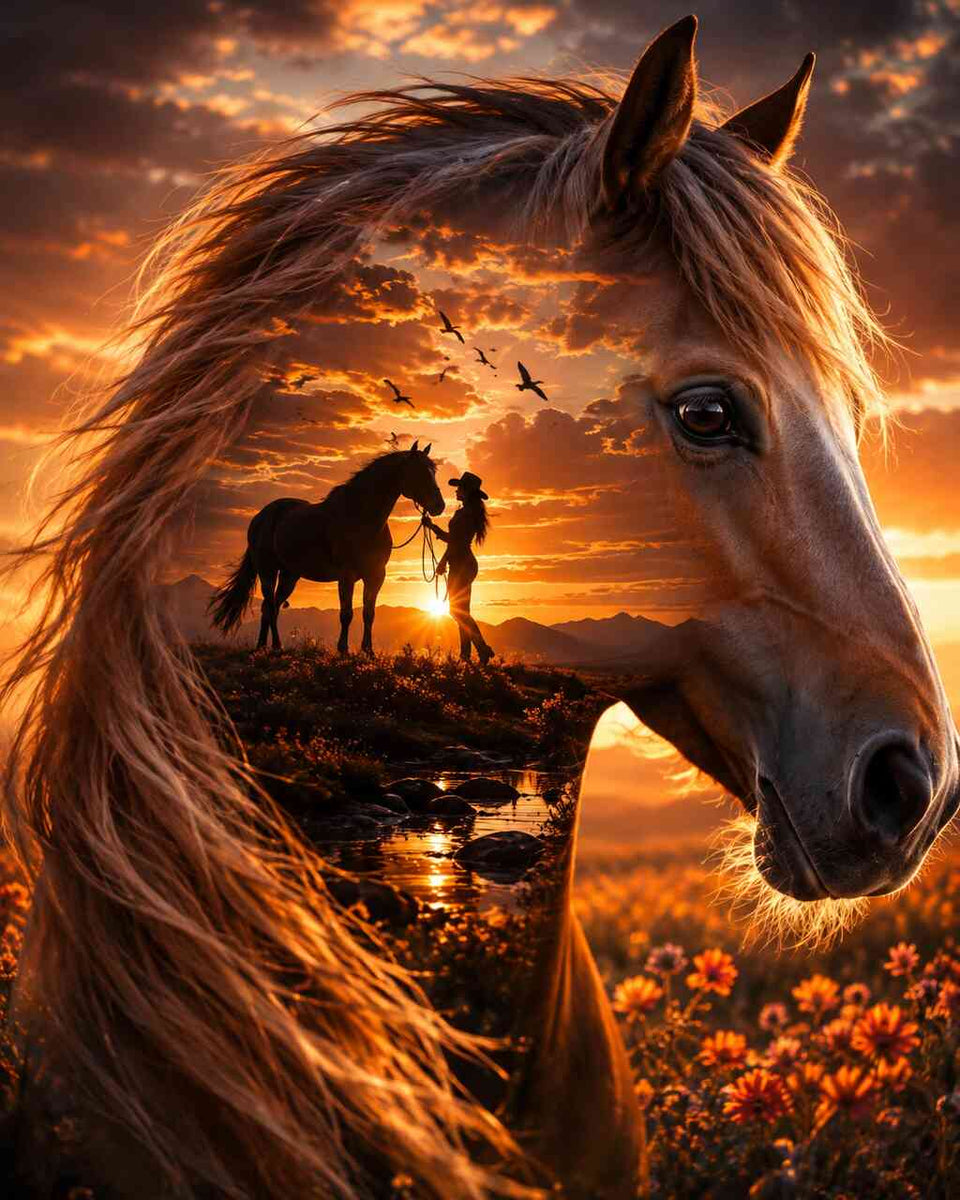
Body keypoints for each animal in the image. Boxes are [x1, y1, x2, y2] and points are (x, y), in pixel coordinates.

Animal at [208, 443, 444, 652]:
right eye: (419, 472)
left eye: (433, 471)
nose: (439, 505)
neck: (361, 519)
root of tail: (261, 516)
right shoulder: (347, 575)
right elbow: (346, 613)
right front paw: (343, 649)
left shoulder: (376, 575)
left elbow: (369, 613)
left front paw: (368, 651)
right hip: (268, 571)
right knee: (268, 605)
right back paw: (273, 645)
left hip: (289, 575)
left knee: (272, 607)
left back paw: (265, 646)